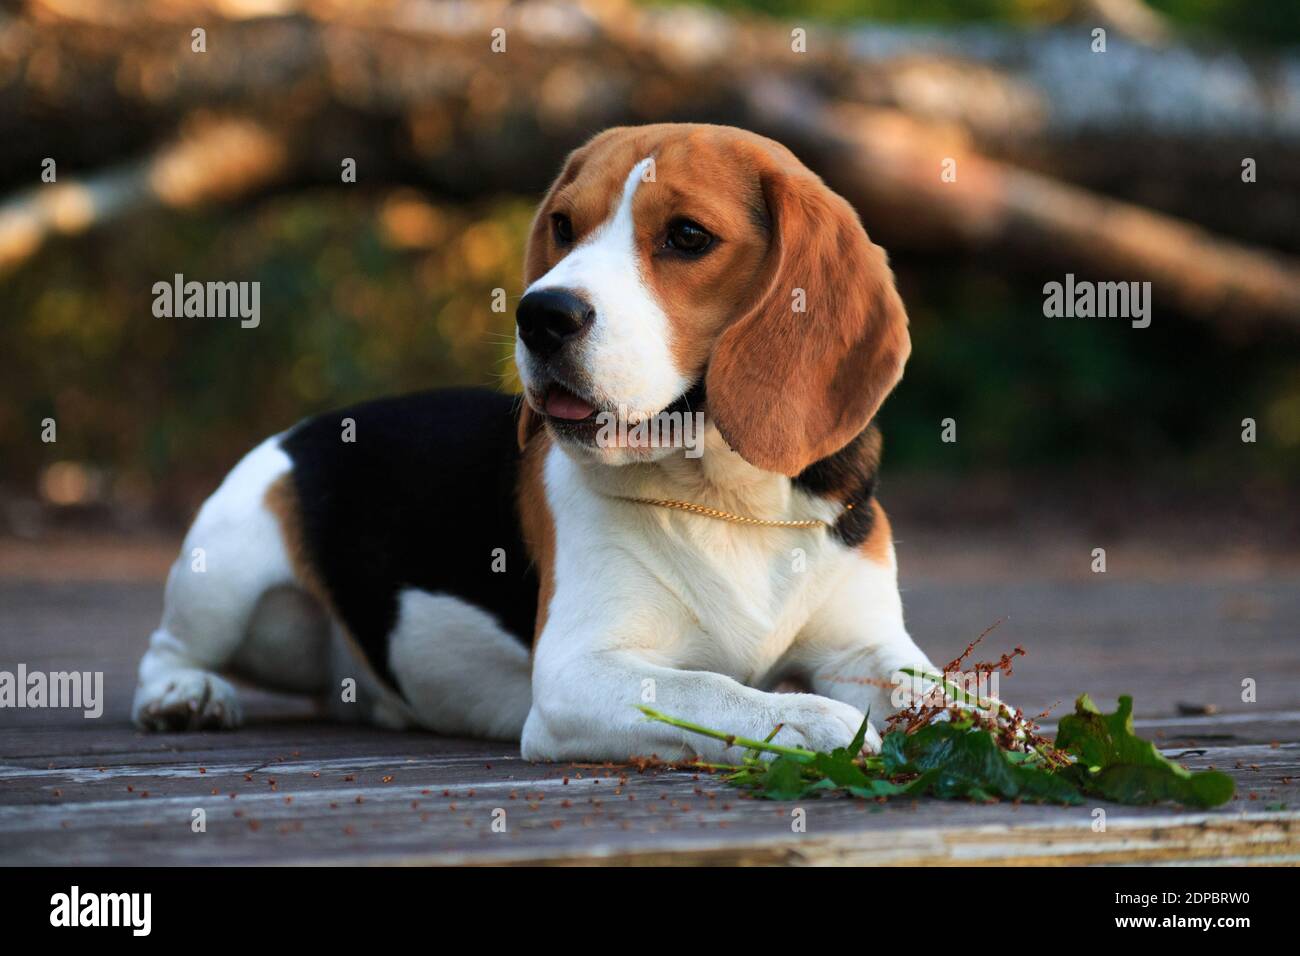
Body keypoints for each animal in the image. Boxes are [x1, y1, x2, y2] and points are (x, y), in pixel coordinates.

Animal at [131, 123, 935, 764]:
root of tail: (302, 428)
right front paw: (809, 722)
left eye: (687, 237)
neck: (727, 497)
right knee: (164, 650)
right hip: (224, 569)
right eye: (563, 225)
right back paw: (185, 694)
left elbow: (941, 690)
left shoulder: (868, 647)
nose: (541, 314)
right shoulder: (576, 675)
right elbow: (711, 690)